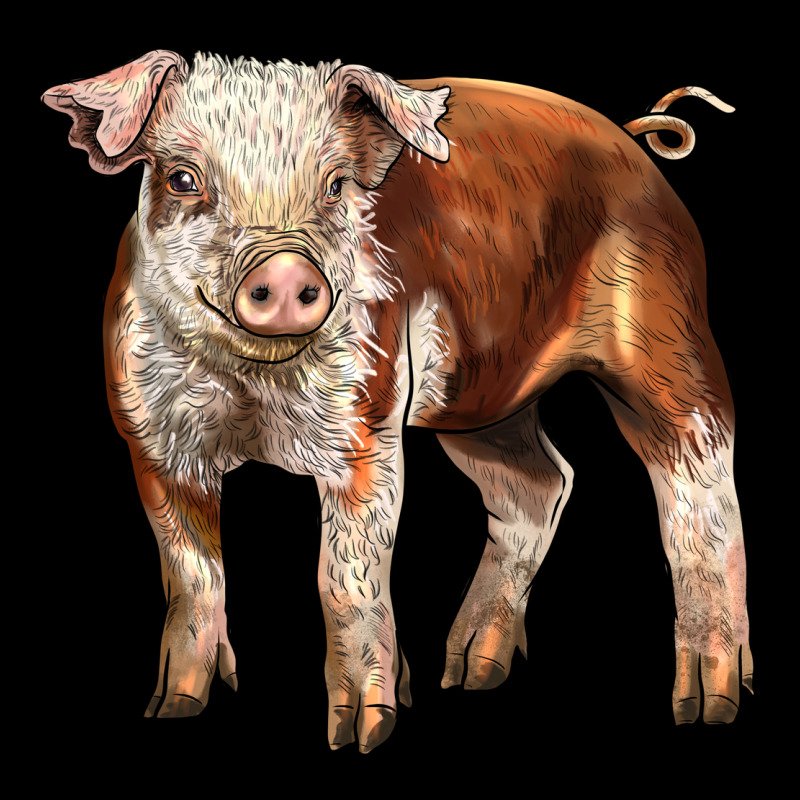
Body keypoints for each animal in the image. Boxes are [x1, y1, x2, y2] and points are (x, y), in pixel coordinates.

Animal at [43, 50, 752, 752]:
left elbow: (344, 580)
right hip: (481, 400)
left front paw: (364, 733)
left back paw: (708, 706)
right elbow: (192, 577)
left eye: (336, 185)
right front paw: (173, 710)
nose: (285, 271)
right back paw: (469, 673)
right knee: (540, 483)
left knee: (701, 492)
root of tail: (632, 141)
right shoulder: (152, 443)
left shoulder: (368, 417)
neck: (252, 387)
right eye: (183, 179)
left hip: (668, 338)